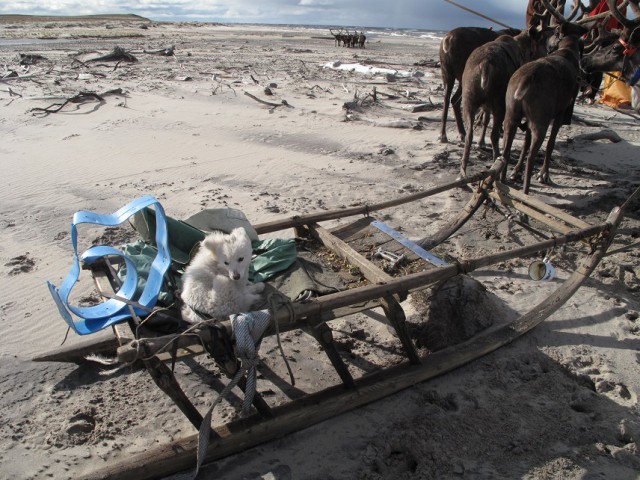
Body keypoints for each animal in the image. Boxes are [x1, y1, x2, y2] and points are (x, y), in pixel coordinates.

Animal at [458, 26, 548, 179]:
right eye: (541, 43)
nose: (546, 53)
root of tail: (485, 65)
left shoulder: (486, 106)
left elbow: (485, 120)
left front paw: (480, 143)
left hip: (469, 101)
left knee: (469, 133)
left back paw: (463, 170)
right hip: (499, 104)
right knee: (494, 135)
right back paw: (496, 163)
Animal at [501, 0, 589, 194]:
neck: (568, 49)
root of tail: (527, 79)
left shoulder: (528, 119)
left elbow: (525, 144)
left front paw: (515, 172)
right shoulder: (560, 112)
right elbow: (551, 143)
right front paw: (544, 174)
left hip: (511, 115)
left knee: (505, 152)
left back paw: (502, 182)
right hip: (540, 120)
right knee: (532, 156)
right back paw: (526, 191)